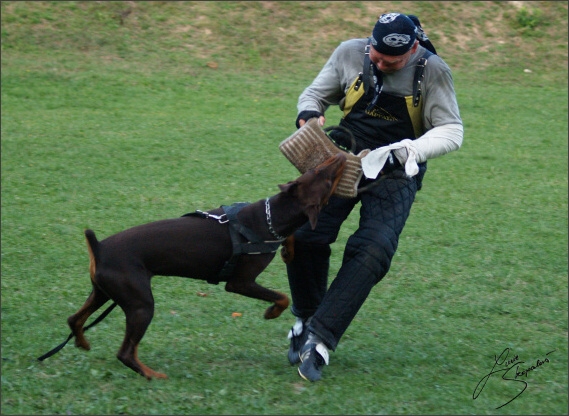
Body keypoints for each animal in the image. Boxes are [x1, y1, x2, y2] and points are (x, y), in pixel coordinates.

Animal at [62, 154, 346, 380]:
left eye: (315, 170)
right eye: (323, 176)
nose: (341, 156)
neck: (271, 216)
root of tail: (99, 248)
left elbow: (291, 239)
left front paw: (288, 250)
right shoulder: (240, 282)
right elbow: (283, 297)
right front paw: (271, 312)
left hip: (104, 292)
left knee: (74, 319)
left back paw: (82, 342)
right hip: (140, 304)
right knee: (125, 352)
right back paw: (153, 374)